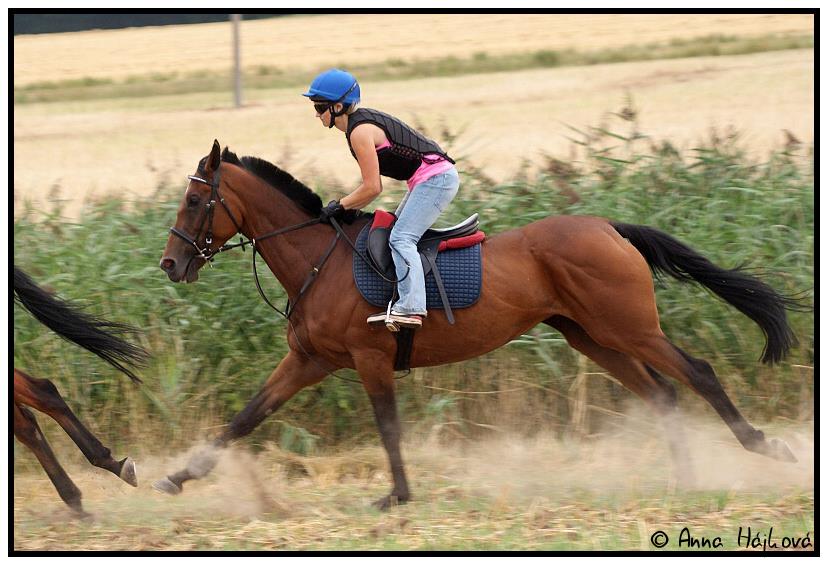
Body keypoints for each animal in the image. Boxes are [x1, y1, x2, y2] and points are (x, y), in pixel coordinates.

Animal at [155, 140, 804, 506]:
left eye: (195, 201)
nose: (170, 264)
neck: (320, 260)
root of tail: (609, 227)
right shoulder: (308, 360)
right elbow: (244, 418)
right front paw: (178, 477)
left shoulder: (369, 358)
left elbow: (388, 427)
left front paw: (398, 496)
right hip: (590, 335)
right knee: (663, 392)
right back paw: (687, 477)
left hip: (629, 327)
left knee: (698, 372)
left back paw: (764, 447)